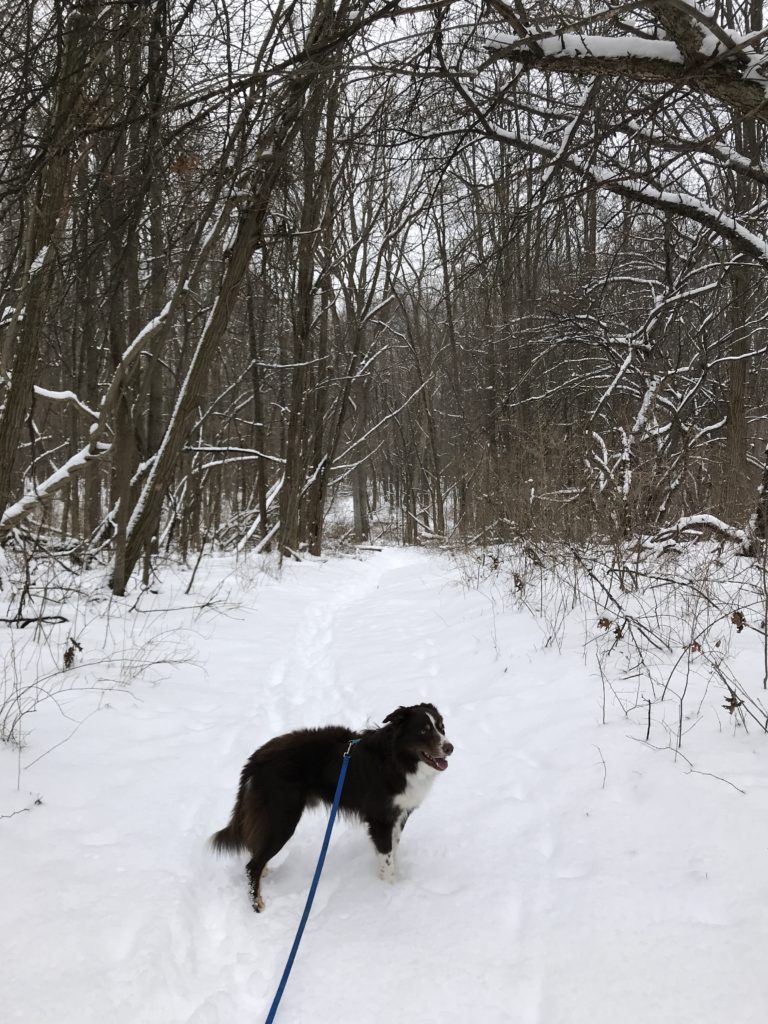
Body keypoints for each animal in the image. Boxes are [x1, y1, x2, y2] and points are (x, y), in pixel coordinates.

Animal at [210, 704, 454, 913]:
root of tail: (255, 759)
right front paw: (389, 891)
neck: (396, 758)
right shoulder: (380, 819)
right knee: (252, 865)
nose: (450, 748)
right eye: (423, 731)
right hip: (283, 819)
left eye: (442, 727)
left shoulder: (398, 815)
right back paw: (257, 903)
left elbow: (392, 850)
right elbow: (387, 858)